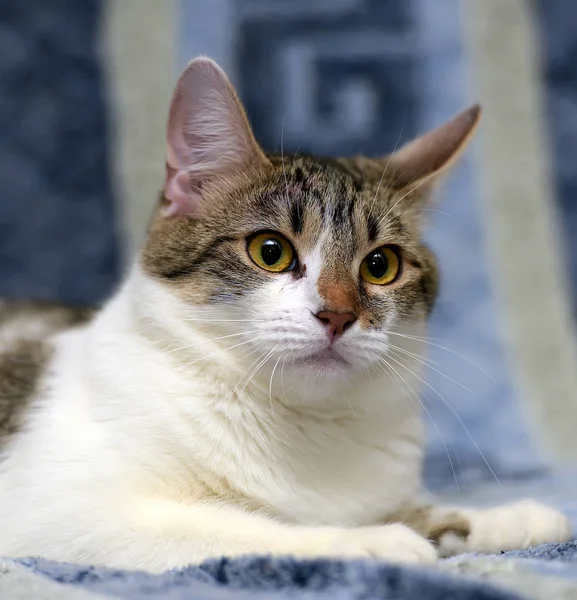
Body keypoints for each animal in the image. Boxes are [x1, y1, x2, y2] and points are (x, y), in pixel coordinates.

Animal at [0, 58, 568, 576]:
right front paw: (367, 539)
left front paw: (505, 517)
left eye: (380, 265)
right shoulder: (62, 512)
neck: (300, 424)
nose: (338, 314)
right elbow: (242, 527)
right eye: (270, 251)